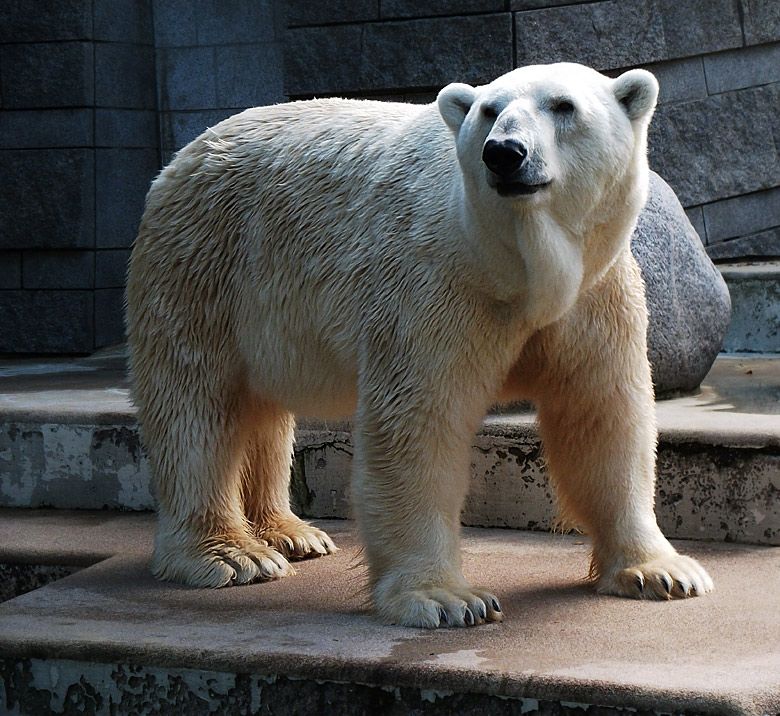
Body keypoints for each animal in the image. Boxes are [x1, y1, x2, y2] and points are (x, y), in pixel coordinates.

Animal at [126, 64, 712, 628]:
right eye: (489, 110)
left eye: (564, 105)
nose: (504, 152)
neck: (516, 268)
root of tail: (183, 156)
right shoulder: (432, 284)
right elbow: (417, 425)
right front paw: (448, 599)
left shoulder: (595, 296)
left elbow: (602, 415)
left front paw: (662, 571)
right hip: (205, 266)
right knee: (196, 407)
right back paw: (231, 554)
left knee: (261, 410)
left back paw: (291, 533)